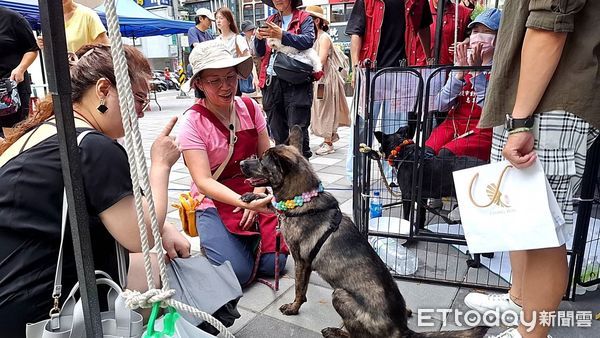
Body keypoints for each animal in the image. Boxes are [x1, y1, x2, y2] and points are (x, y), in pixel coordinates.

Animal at [239, 127, 488, 338]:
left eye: (261, 161)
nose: (241, 162)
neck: (304, 201)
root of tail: (402, 330)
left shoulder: (302, 262)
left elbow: (300, 290)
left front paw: (293, 308)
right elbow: (272, 203)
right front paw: (253, 197)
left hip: (339, 295)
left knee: (358, 335)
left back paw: (336, 332)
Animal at [350, 64, 600, 300]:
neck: (405, 151)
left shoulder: (408, 195)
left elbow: (407, 218)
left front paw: (408, 238)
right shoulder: (420, 196)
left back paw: (477, 261)